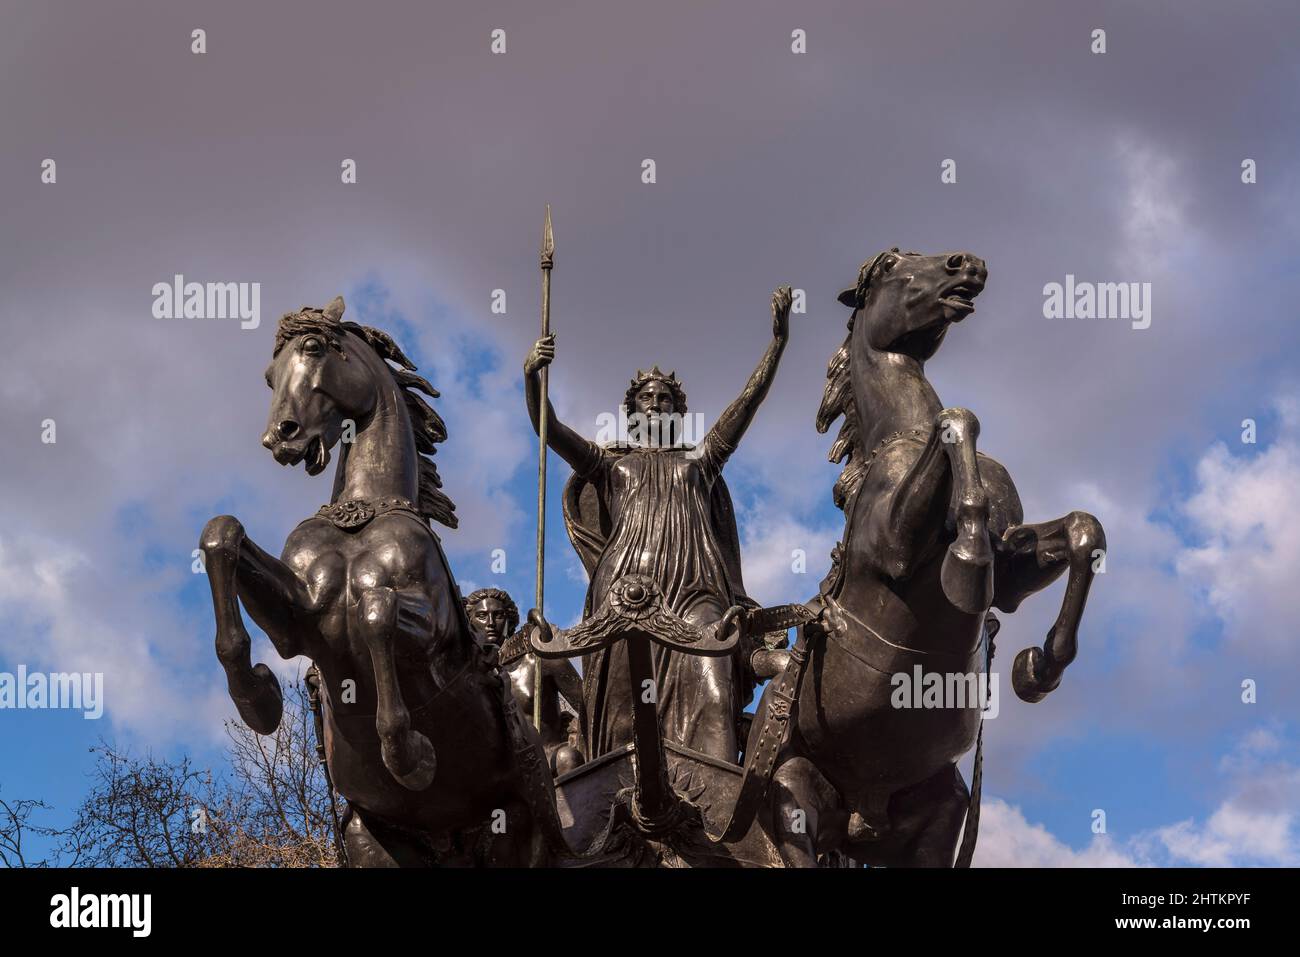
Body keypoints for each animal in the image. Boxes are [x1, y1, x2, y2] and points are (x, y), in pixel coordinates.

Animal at [197, 297, 559, 868]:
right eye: (269, 376)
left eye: (314, 348)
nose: (280, 437)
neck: (362, 513)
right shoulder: (300, 618)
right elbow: (221, 534)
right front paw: (258, 696)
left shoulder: (433, 632)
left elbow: (376, 611)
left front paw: (410, 755)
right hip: (371, 838)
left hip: (525, 826)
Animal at [759, 247, 1107, 868]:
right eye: (890, 264)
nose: (965, 263)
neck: (902, 435)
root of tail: (862, 815)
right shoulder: (894, 550)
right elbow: (961, 419)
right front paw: (966, 562)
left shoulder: (1013, 574)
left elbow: (1081, 531)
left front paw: (1038, 668)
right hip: (791, 795)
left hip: (942, 817)